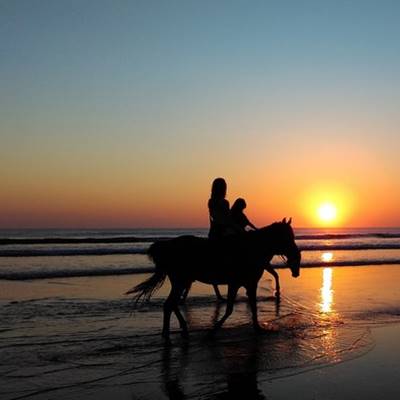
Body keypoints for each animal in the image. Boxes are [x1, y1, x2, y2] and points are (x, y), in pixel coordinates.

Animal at [127, 219, 300, 338]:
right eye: (287, 237)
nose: (296, 256)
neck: (252, 248)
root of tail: (166, 246)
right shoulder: (237, 283)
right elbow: (231, 309)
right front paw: (214, 330)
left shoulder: (247, 284)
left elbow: (251, 306)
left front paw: (257, 328)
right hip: (181, 281)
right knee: (170, 304)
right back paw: (170, 332)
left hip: (181, 281)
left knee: (172, 304)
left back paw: (180, 329)